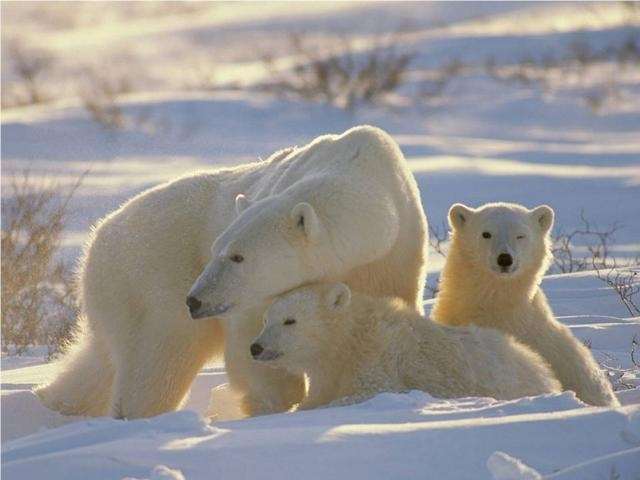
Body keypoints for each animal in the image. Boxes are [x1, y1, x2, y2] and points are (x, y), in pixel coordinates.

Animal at [37, 125, 428, 418]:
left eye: (237, 256)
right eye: (216, 250)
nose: (195, 300)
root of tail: (97, 237)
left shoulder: (394, 256)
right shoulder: (254, 297)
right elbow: (250, 341)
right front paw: (275, 398)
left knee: (99, 361)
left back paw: (53, 401)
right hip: (150, 278)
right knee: (160, 359)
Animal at [250, 284, 560, 410]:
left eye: (290, 320)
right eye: (266, 319)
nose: (256, 347)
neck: (350, 338)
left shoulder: (379, 358)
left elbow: (370, 392)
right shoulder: (328, 371)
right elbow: (316, 395)